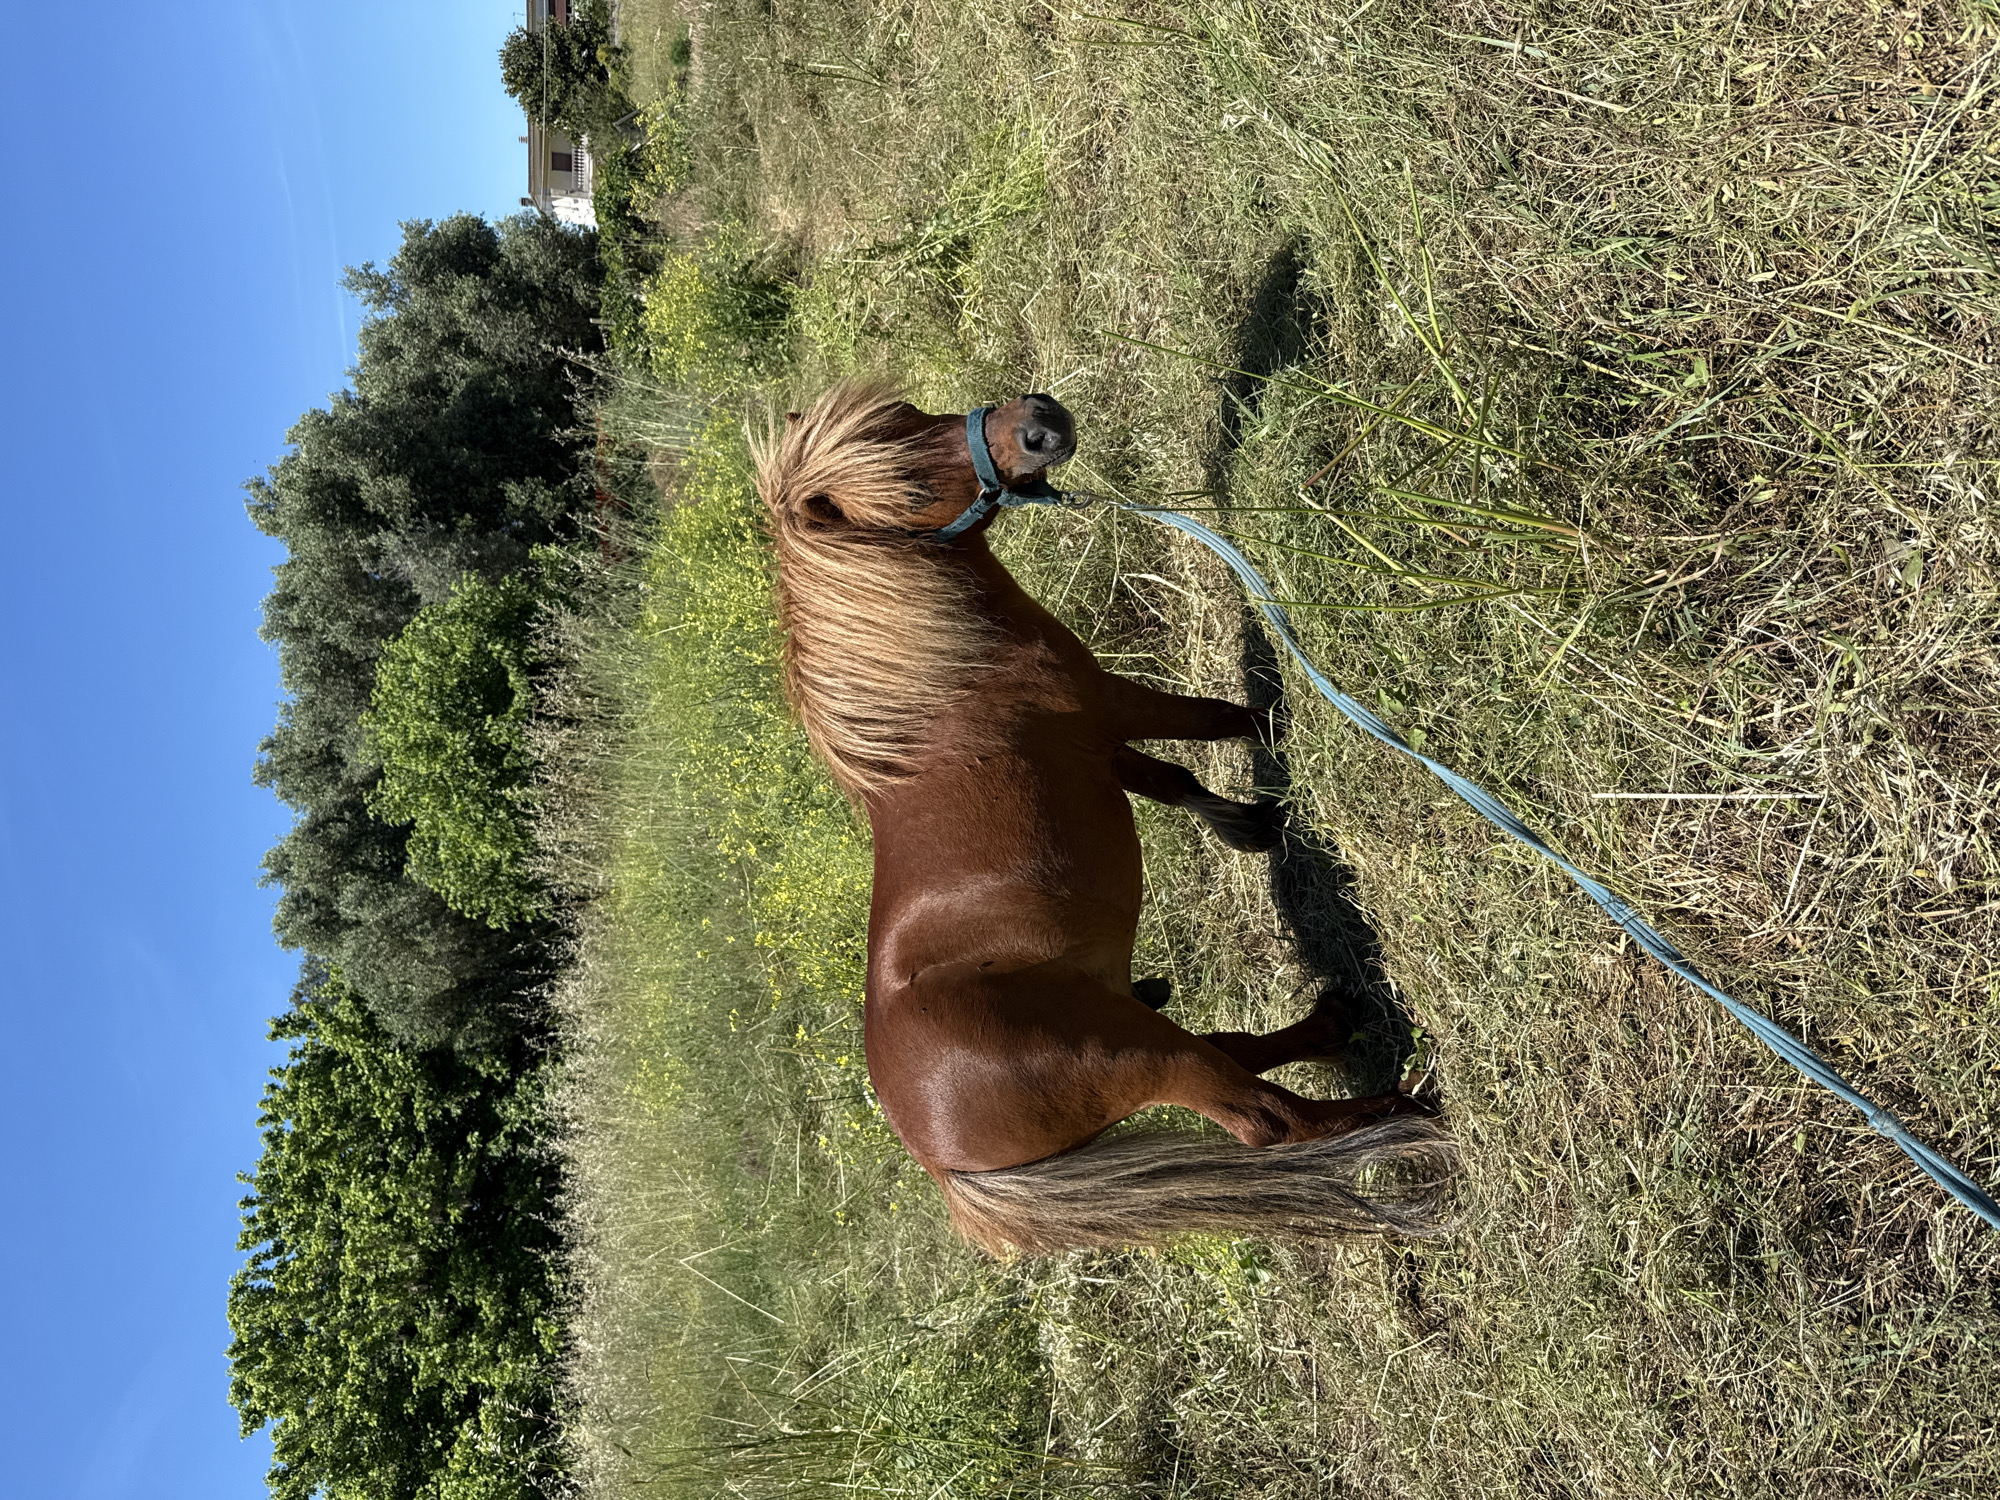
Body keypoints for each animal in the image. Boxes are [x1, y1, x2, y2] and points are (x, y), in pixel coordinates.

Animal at [754, 383, 1454, 1254]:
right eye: (906, 491)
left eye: (914, 414)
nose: (1039, 424)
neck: (941, 685)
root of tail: (948, 1165)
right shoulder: (1115, 708)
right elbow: (1214, 719)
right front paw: (1277, 725)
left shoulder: (1102, 750)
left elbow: (1174, 778)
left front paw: (1249, 828)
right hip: (1144, 1054)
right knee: (1270, 1119)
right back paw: (1402, 1112)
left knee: (1239, 1052)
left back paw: (1336, 1025)